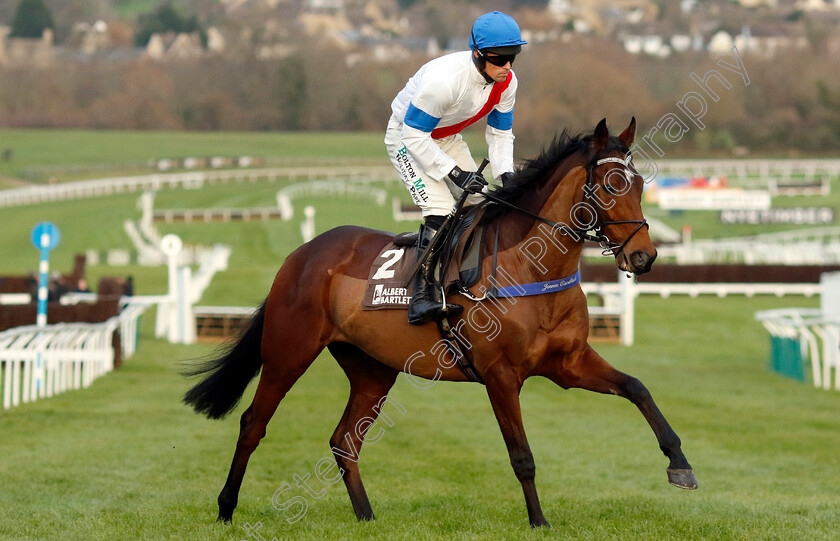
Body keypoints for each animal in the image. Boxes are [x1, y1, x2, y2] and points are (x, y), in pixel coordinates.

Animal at [184, 118, 696, 528]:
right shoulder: (500, 375)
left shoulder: (568, 363)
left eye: (640, 185)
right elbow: (522, 456)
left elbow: (636, 388)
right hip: (288, 352)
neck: (530, 266)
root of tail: (302, 254)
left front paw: (680, 464)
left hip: (372, 369)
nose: (643, 257)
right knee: (253, 423)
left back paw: (366, 516)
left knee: (343, 440)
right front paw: (539, 521)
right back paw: (226, 508)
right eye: (610, 185)